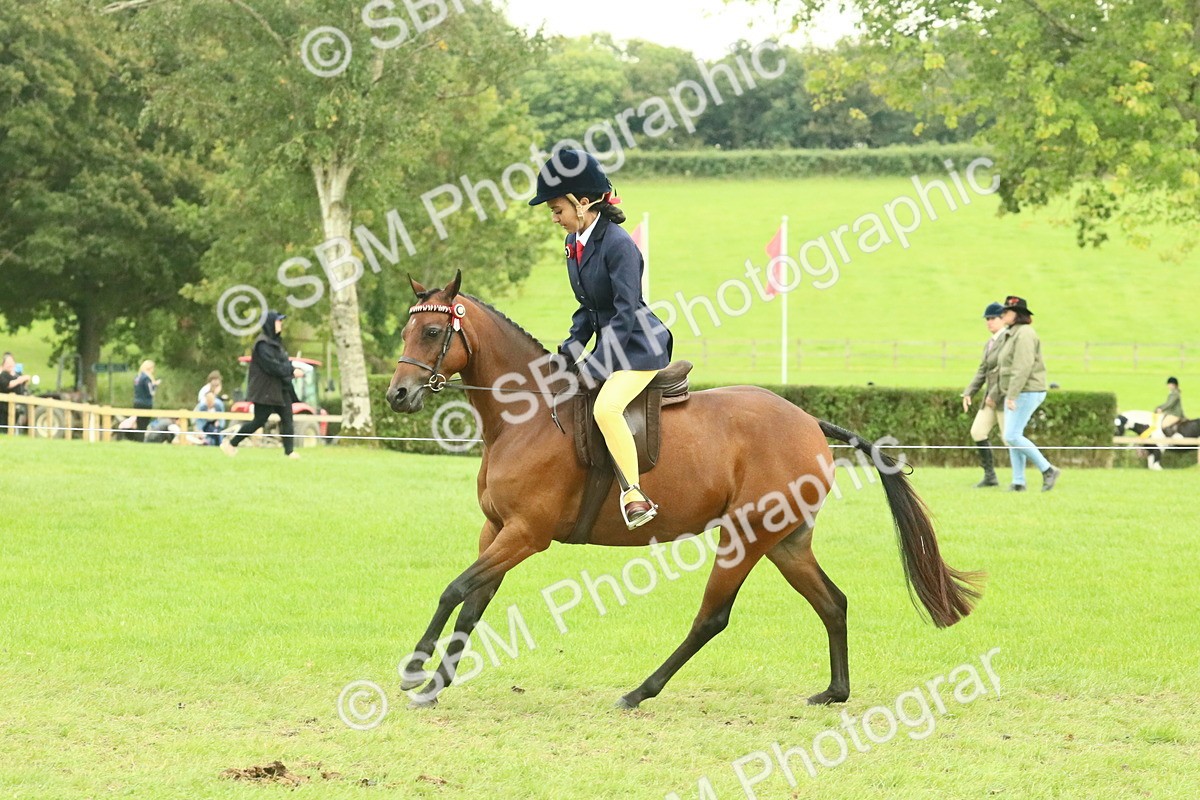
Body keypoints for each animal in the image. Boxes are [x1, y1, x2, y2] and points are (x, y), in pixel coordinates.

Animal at [386, 273, 982, 709]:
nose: (397, 395)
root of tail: (809, 421)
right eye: (406, 333)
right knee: (832, 603)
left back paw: (638, 692)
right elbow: (473, 602)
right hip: (786, 542)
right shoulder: (497, 529)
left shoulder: (526, 534)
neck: (529, 415)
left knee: (712, 618)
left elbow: (455, 590)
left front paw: (414, 670)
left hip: (745, 537)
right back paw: (834, 693)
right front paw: (434, 685)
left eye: (434, 334)